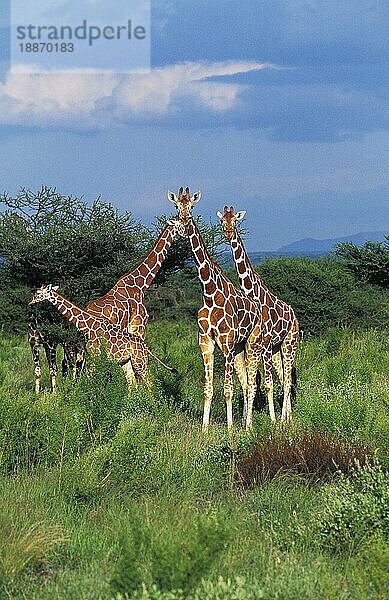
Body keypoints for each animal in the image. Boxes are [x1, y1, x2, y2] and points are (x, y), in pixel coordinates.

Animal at [217, 209, 298, 424]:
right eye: (222, 221)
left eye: (235, 220)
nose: (228, 233)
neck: (250, 292)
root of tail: (294, 316)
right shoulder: (251, 346)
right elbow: (247, 383)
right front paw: (245, 418)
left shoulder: (265, 344)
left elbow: (266, 384)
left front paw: (272, 421)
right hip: (278, 348)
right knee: (284, 379)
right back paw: (287, 416)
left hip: (289, 345)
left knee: (287, 380)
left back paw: (284, 419)